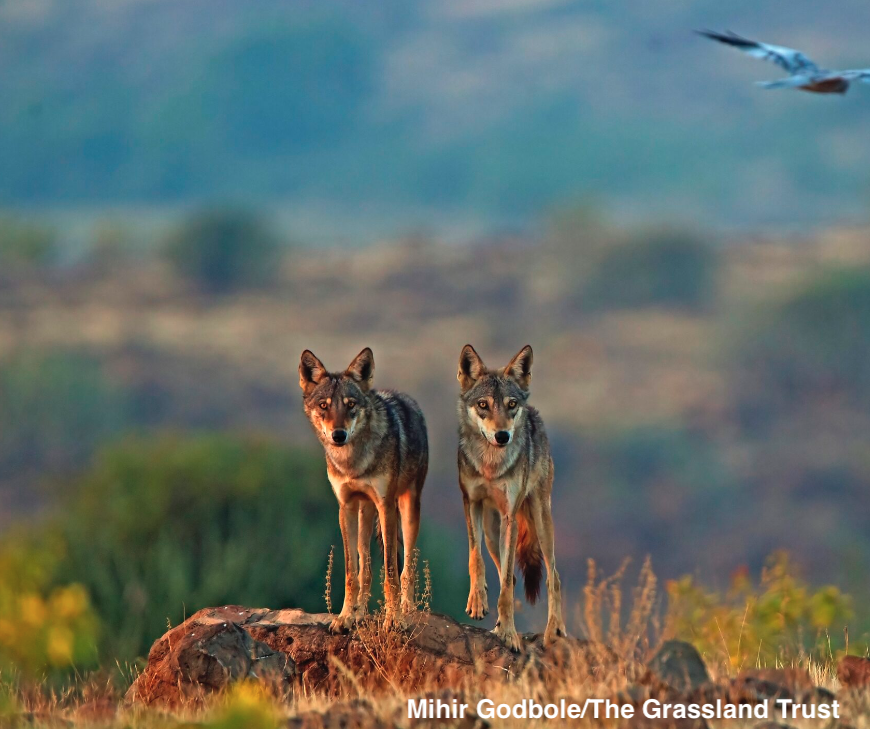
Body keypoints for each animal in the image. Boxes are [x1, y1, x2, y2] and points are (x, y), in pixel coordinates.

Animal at [299, 347, 428, 632]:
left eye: (350, 405)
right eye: (324, 405)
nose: (338, 435)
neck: (353, 462)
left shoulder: (386, 505)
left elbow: (390, 571)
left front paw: (393, 619)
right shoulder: (345, 506)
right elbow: (351, 571)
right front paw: (345, 617)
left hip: (407, 510)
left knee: (407, 568)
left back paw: (408, 609)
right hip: (364, 513)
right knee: (365, 569)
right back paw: (360, 613)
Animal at [456, 344, 567, 651]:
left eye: (511, 404)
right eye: (483, 405)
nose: (502, 435)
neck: (491, 465)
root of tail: (535, 413)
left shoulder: (510, 517)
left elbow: (505, 585)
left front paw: (509, 635)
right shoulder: (471, 504)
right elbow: (475, 559)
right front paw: (477, 603)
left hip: (540, 522)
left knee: (554, 576)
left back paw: (554, 631)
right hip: (492, 533)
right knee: (514, 577)